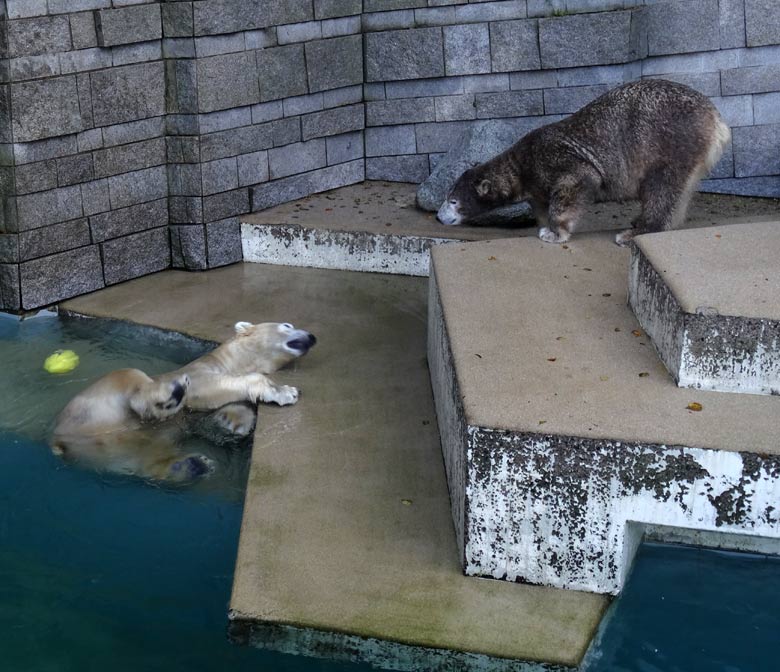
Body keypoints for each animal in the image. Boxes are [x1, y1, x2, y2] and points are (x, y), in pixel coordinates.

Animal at [51, 322, 316, 484]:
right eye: (287, 325)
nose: (312, 337)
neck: (228, 360)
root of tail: (59, 439)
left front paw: (231, 422)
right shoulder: (199, 375)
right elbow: (213, 388)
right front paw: (286, 391)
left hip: (108, 452)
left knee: (145, 458)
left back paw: (192, 465)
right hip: (100, 400)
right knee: (129, 377)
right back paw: (170, 395)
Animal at [438, 79, 732, 247]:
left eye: (453, 200)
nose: (439, 217)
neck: (521, 165)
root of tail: (717, 121)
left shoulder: (555, 158)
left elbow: (578, 181)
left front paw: (554, 233)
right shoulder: (535, 183)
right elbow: (541, 201)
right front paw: (545, 225)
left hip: (668, 139)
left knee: (662, 185)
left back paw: (634, 232)